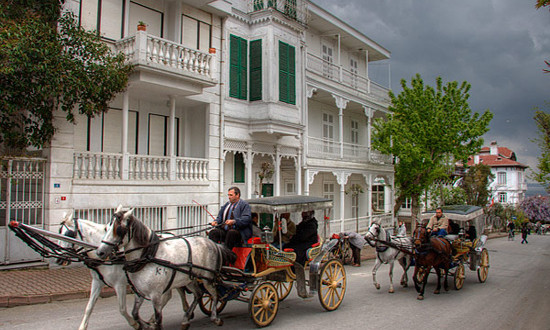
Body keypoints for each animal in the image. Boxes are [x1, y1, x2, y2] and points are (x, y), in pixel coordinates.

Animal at [94, 208, 231, 328]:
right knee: (198, 294)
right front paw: (146, 325)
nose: (100, 252)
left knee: (214, 294)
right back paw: (186, 319)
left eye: (119, 229)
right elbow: (135, 313)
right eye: (106, 228)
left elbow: (159, 318)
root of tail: (214, 244)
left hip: (208, 278)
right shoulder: (139, 291)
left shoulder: (156, 295)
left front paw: (152, 324)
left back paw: (215, 318)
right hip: (190, 278)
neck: (148, 256)